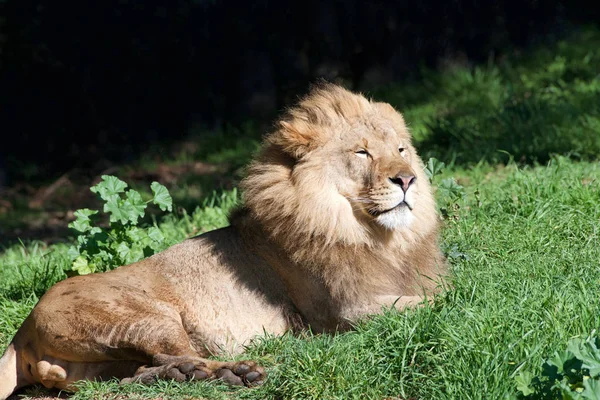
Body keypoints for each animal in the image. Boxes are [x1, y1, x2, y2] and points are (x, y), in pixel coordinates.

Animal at [0, 83, 446, 396]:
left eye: (402, 149)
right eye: (362, 153)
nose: (408, 179)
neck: (376, 235)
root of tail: (22, 329)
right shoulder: (343, 312)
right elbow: (437, 300)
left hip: (106, 363)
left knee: (138, 375)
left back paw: (198, 375)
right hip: (144, 318)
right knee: (175, 352)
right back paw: (239, 370)